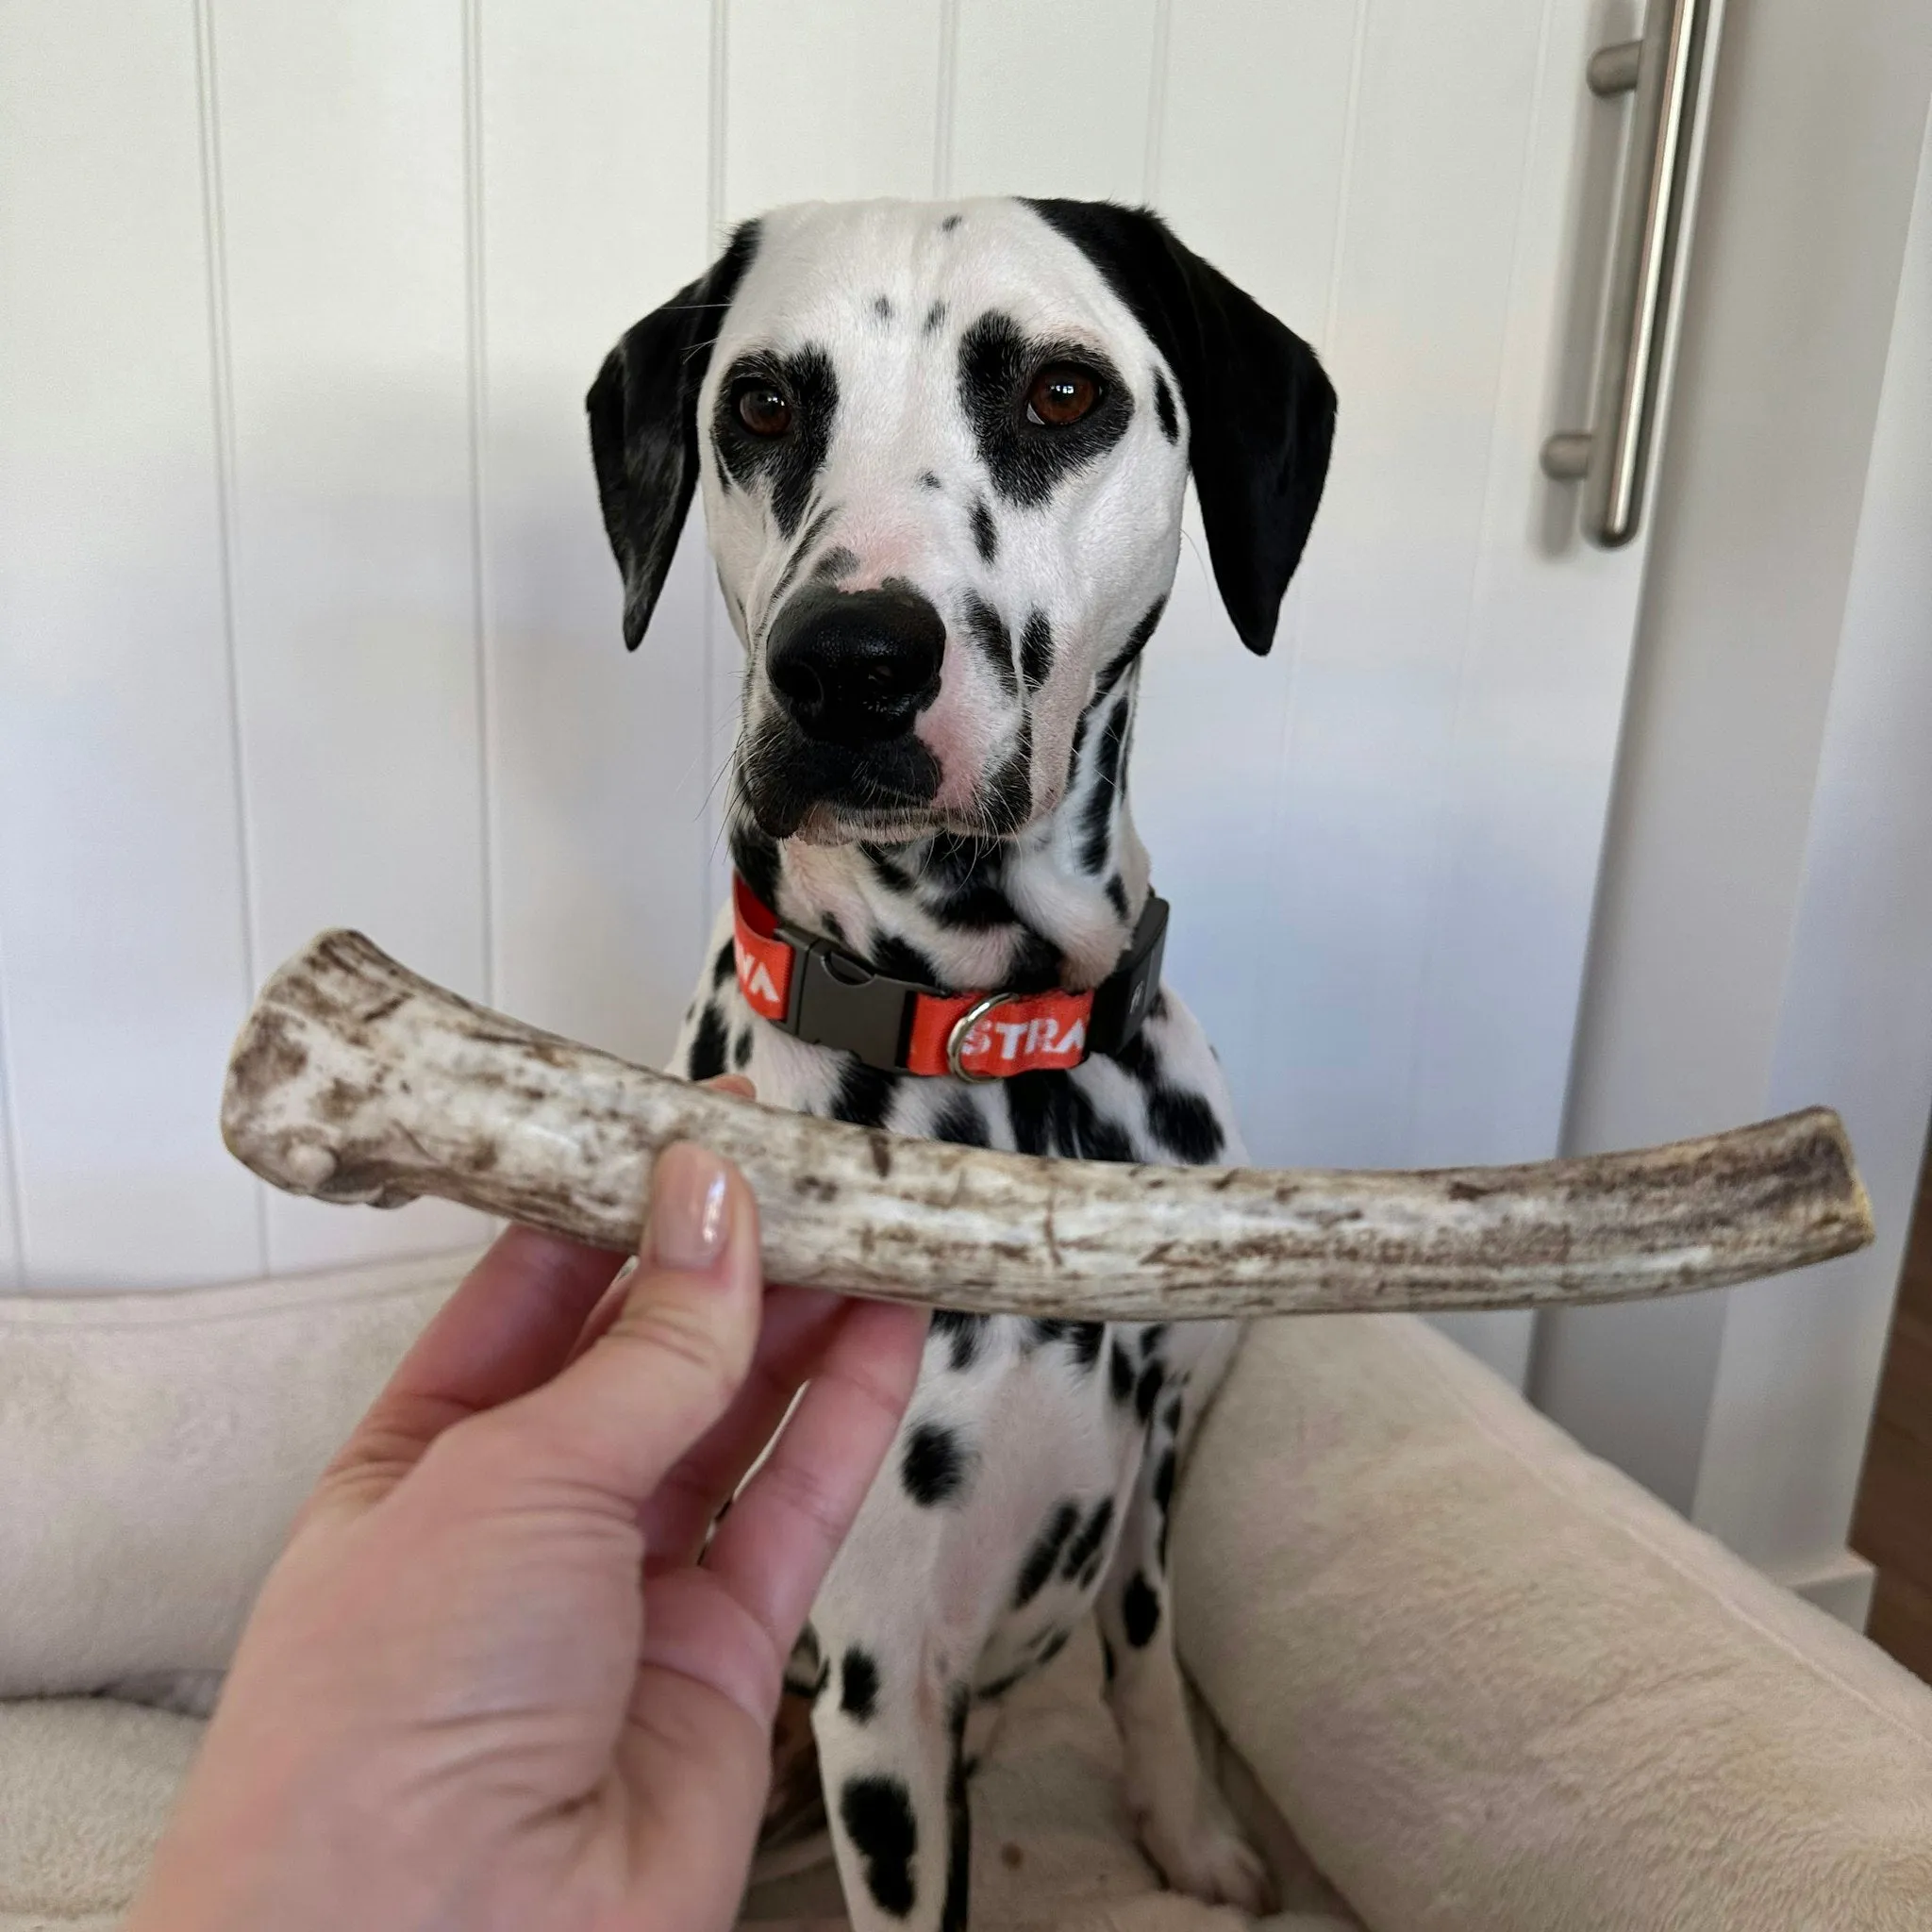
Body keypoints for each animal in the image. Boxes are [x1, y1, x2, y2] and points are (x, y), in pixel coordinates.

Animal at [583, 199, 1329, 1932]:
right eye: (762, 406)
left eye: (1061, 392)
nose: (846, 663)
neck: (1009, 1057)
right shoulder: (882, 1685)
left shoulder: (1152, 1482)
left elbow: (1146, 1669)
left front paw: (1188, 1835)